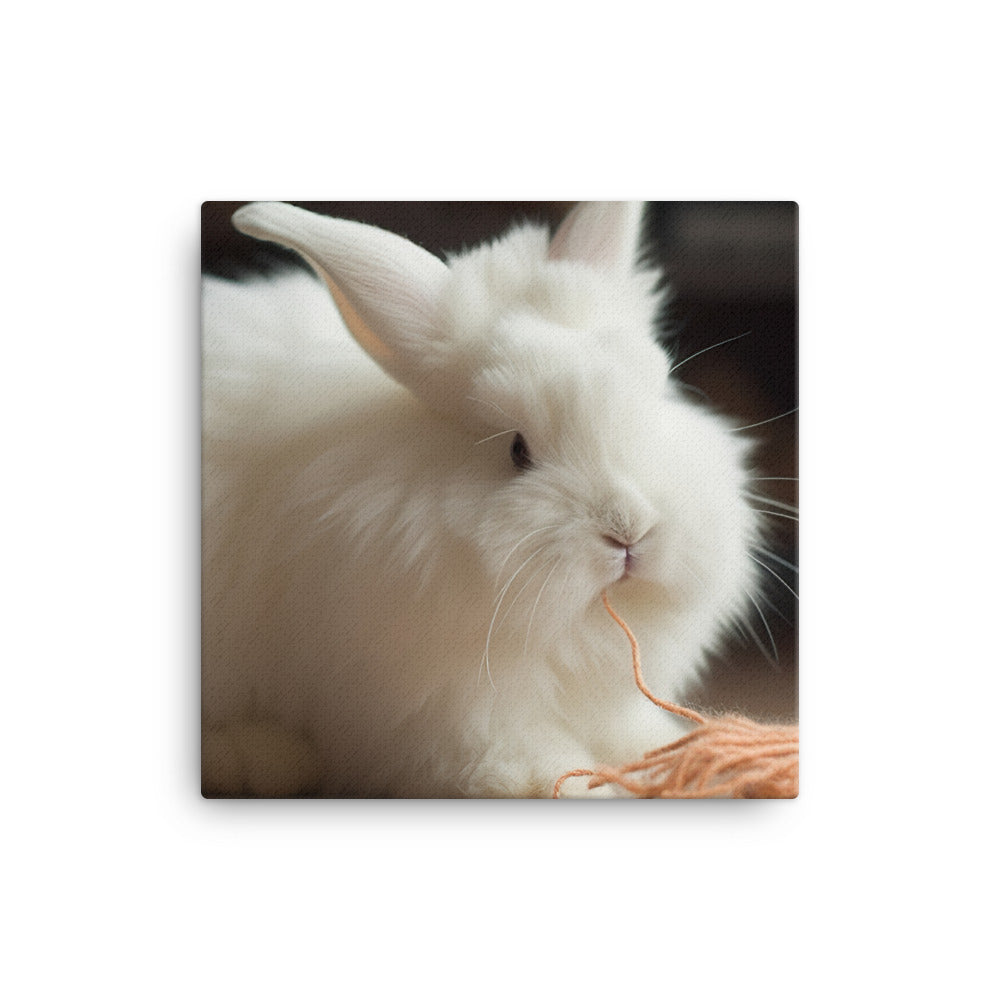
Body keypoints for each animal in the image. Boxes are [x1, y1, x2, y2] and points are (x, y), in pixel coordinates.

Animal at [201, 201, 761, 798]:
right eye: (517, 450)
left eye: (655, 404)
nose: (629, 531)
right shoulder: (437, 713)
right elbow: (510, 761)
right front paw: (571, 784)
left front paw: (689, 758)